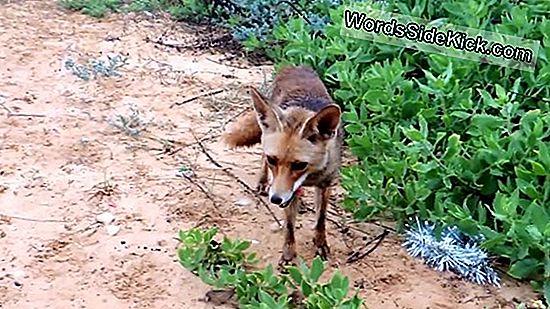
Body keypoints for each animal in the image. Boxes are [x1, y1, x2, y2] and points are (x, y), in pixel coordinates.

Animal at [222, 64, 342, 264]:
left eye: (300, 165)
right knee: (261, 158)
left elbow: (321, 219)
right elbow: (289, 227)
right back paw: (262, 182)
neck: (310, 176)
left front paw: (320, 243)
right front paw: (288, 254)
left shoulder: (325, 184)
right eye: (273, 160)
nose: (275, 199)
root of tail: (295, 66)